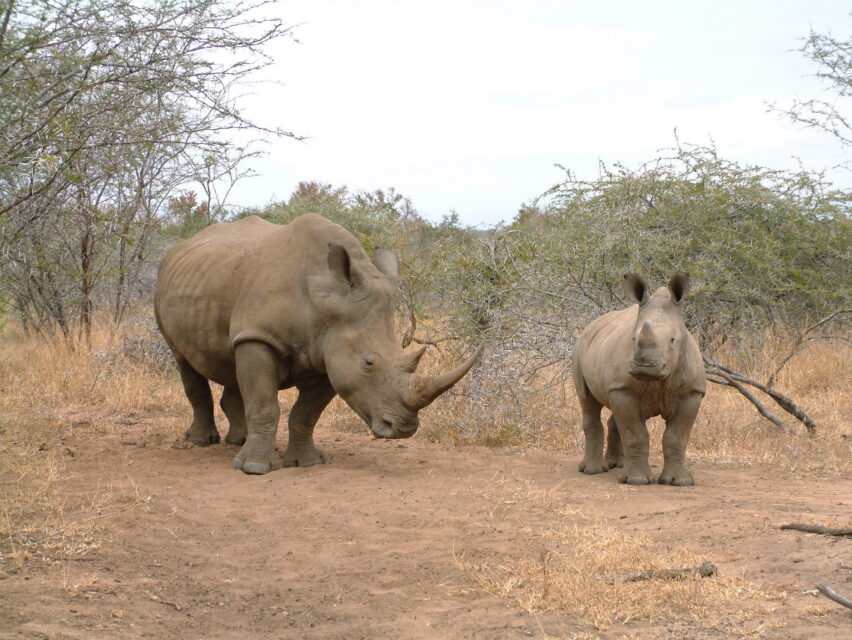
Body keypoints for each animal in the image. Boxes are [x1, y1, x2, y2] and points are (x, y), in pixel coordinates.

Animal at [154, 214, 480, 474]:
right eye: (368, 363)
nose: (403, 429)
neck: (328, 298)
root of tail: (181, 247)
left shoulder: (330, 353)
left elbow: (306, 413)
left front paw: (305, 462)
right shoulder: (261, 336)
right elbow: (265, 404)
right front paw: (254, 468)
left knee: (230, 359)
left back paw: (239, 441)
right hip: (170, 291)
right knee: (184, 361)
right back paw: (200, 442)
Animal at [572, 273, 706, 486]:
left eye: (673, 340)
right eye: (633, 339)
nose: (645, 367)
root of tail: (591, 326)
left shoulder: (692, 393)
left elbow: (676, 437)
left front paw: (679, 481)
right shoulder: (623, 388)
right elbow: (636, 434)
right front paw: (637, 480)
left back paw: (617, 465)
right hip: (579, 349)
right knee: (588, 401)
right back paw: (593, 470)